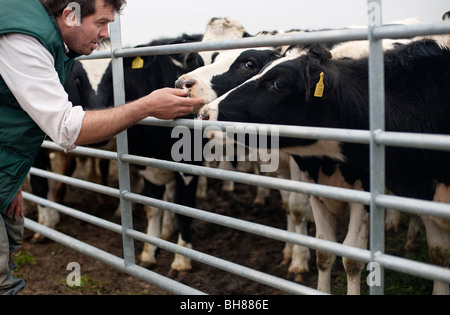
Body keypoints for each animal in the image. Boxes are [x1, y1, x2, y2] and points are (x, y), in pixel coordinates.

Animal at [200, 37, 450, 296]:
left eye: (278, 83)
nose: (205, 113)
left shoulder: (365, 193)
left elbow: (351, 258)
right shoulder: (315, 187)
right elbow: (324, 251)